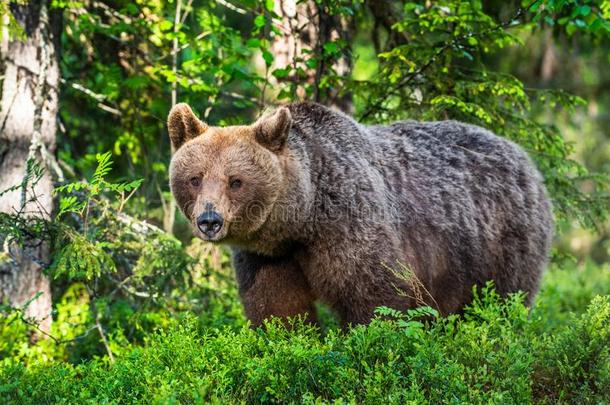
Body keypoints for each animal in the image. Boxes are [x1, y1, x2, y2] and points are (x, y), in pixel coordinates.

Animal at [166, 102, 552, 326]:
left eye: (236, 181)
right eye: (195, 178)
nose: (210, 220)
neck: (301, 219)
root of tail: (526, 158)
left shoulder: (349, 225)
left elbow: (377, 298)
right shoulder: (267, 259)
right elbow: (278, 308)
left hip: (502, 241)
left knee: (503, 300)